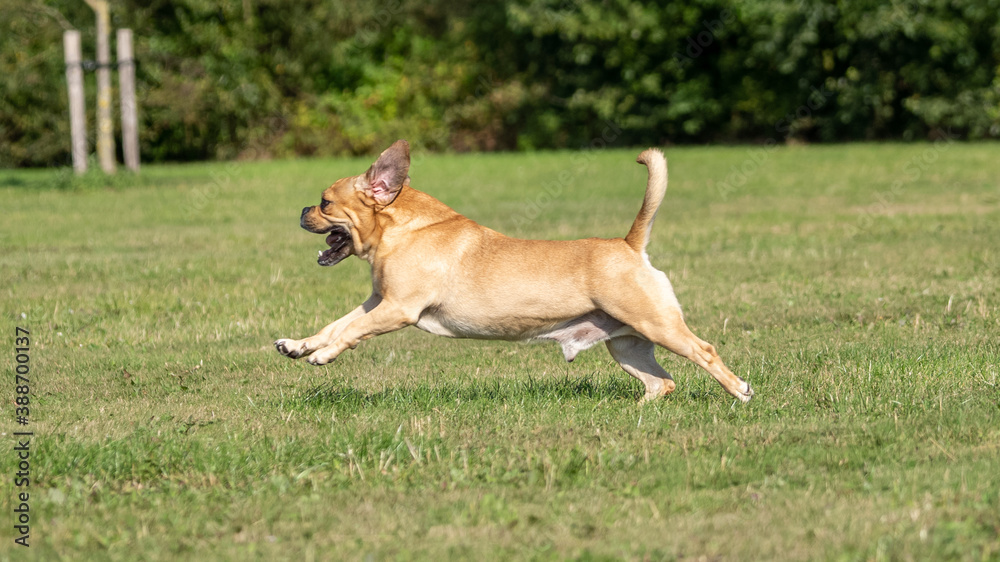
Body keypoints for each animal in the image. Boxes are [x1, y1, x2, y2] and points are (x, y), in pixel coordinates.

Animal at [274, 140, 752, 402]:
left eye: (325, 203)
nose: (300, 211)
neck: (401, 229)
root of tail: (628, 244)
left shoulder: (396, 309)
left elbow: (353, 331)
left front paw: (323, 355)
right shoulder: (377, 301)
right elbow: (337, 324)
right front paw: (299, 345)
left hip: (658, 325)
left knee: (705, 352)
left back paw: (739, 392)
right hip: (627, 344)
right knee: (661, 384)